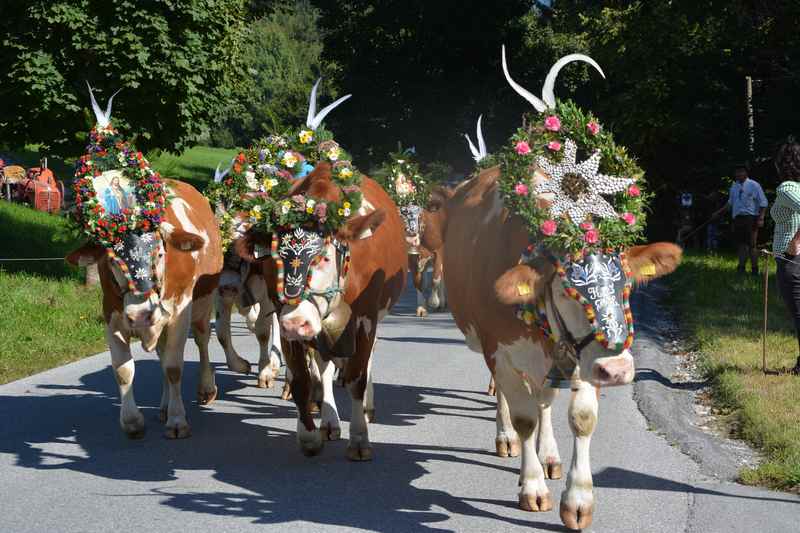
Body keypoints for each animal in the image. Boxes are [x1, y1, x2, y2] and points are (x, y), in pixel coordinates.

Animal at [65, 85, 222, 438]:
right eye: (110, 260)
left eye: (160, 252)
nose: (140, 314)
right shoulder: (112, 314)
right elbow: (124, 370)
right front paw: (132, 421)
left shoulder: (179, 311)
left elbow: (175, 367)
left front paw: (178, 421)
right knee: (161, 353)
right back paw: (162, 406)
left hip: (203, 301)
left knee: (202, 340)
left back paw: (205, 390)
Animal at [233, 82, 406, 458]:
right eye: (275, 259)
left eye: (324, 258)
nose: (297, 321)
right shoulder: (286, 318)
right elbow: (301, 379)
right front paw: (309, 434)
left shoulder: (365, 319)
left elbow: (357, 376)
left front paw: (360, 438)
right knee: (323, 368)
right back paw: (328, 420)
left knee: (364, 364)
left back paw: (365, 409)